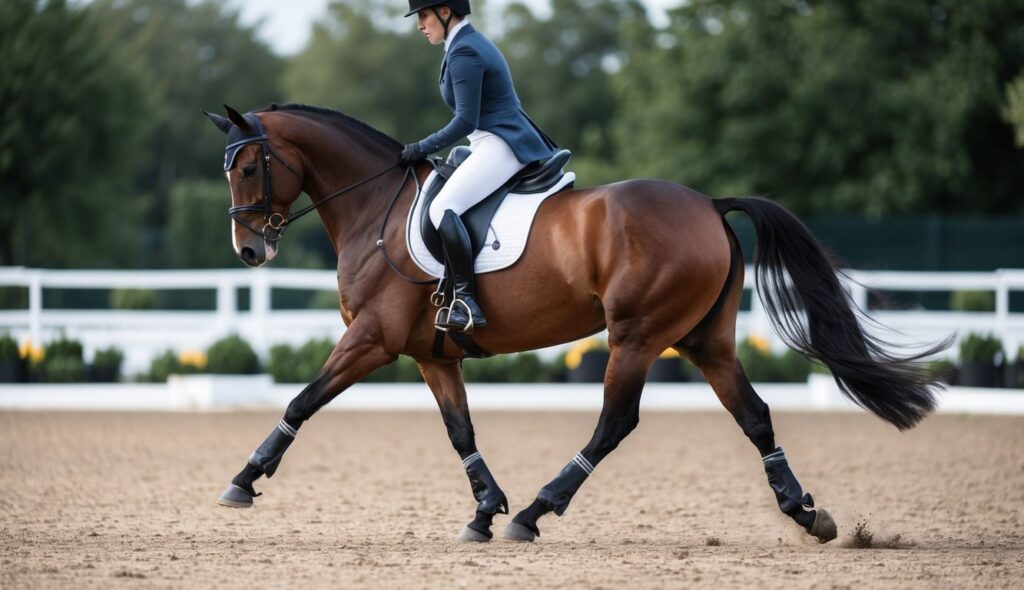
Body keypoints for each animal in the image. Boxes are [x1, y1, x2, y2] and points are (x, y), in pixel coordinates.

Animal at [203, 102, 946, 544]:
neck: (374, 207)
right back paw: (806, 513)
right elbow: (459, 432)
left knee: (615, 423)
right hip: (704, 341)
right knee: (754, 414)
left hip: (637, 337)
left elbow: (302, 401)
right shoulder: (432, 355)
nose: (247, 250)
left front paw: (244, 479)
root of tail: (708, 203)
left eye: (249, 166)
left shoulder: (372, 341)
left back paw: (538, 512)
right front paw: (483, 510)